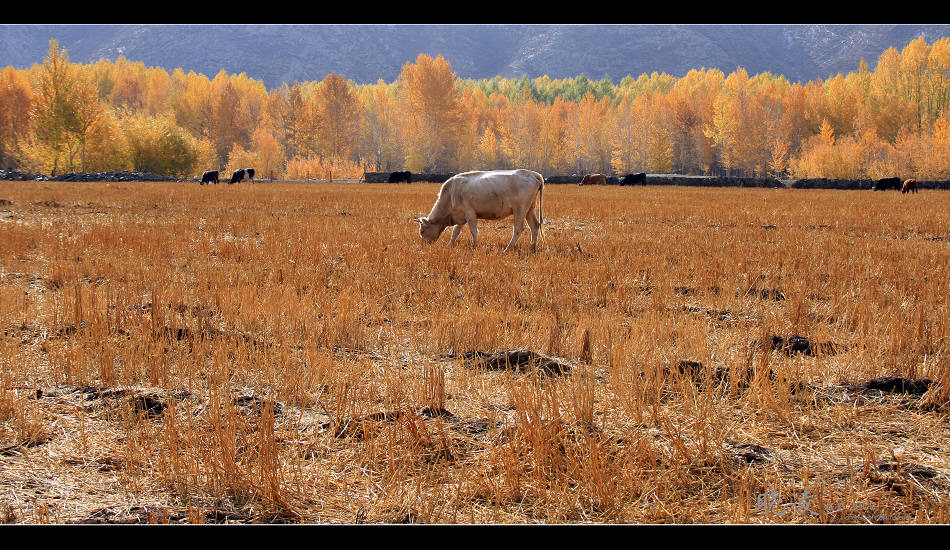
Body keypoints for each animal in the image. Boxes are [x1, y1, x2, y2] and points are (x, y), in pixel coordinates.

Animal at [414, 169, 544, 253]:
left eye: (422, 231)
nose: (424, 246)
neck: (451, 194)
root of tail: (533, 174)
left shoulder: (470, 213)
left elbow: (473, 231)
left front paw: (474, 246)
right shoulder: (460, 217)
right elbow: (455, 232)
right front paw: (449, 245)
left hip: (520, 209)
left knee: (518, 229)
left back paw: (507, 249)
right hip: (530, 209)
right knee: (534, 226)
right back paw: (532, 248)